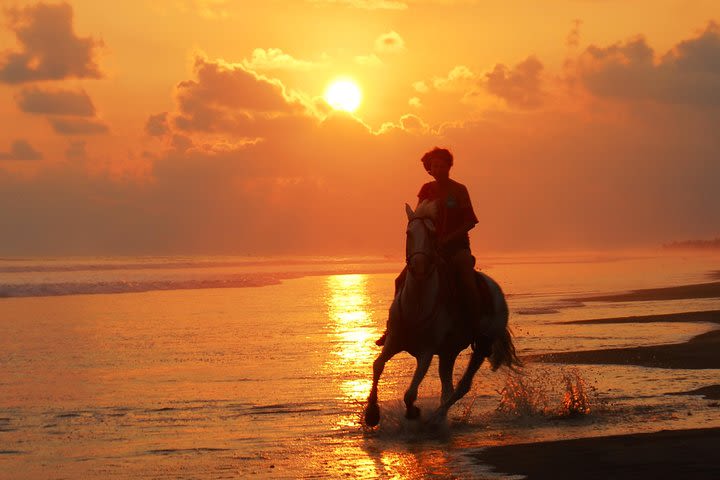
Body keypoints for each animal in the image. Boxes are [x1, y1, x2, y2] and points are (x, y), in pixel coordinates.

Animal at [366, 201, 516, 426]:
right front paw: (371, 413)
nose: (419, 266)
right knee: (448, 388)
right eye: (409, 233)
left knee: (462, 387)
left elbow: (410, 394)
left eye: (432, 233)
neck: (417, 303)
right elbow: (377, 365)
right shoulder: (393, 341)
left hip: (481, 346)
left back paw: (434, 419)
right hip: (448, 352)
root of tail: (496, 291)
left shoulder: (426, 351)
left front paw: (413, 412)